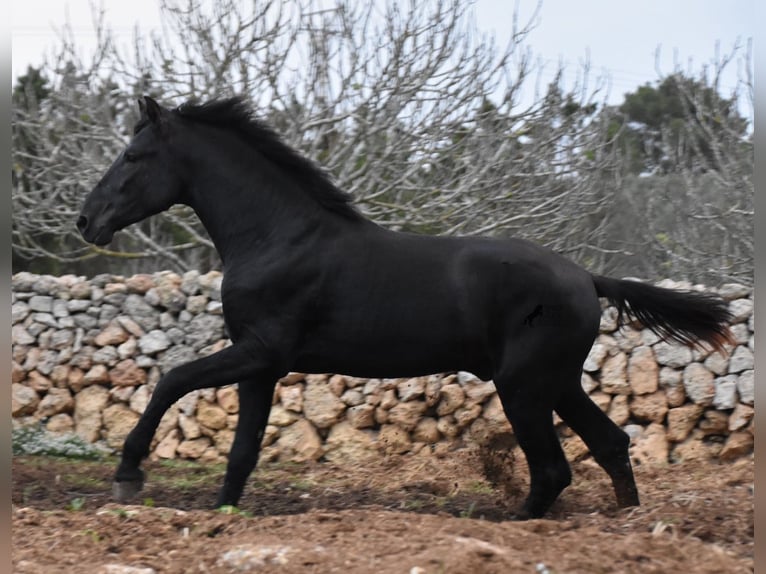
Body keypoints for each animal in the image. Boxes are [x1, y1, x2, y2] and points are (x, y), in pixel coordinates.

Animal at [76, 97, 732, 520]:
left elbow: (171, 379)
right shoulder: (260, 365)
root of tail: (586, 278)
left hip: (524, 386)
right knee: (610, 443)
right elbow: (242, 449)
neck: (278, 237)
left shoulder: (259, 351)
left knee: (554, 468)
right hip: (556, 383)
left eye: (132, 155)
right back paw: (630, 525)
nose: (86, 221)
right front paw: (222, 515)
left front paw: (128, 477)